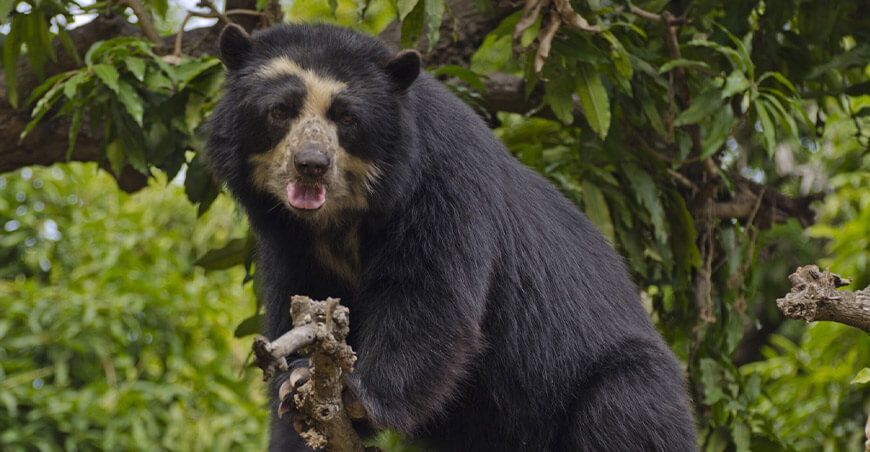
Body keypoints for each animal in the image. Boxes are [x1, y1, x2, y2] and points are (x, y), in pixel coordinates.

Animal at [206, 22, 697, 452]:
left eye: (346, 118)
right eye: (280, 111)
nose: (311, 165)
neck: (342, 219)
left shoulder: (443, 185)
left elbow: (429, 298)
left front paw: (357, 394)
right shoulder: (288, 241)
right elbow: (302, 303)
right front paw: (297, 386)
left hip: (619, 384)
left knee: (621, 413)